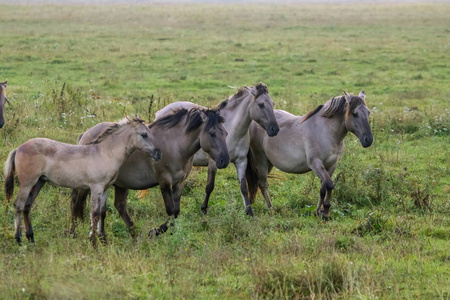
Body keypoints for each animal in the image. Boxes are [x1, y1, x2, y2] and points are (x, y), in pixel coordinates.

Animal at [4, 116, 161, 245]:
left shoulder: (105, 188)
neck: (105, 153)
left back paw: (31, 238)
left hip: (39, 182)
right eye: (144, 135)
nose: (158, 154)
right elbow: (94, 214)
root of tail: (18, 148)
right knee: (18, 205)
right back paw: (18, 239)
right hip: (27, 183)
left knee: (27, 206)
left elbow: (102, 212)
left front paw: (102, 240)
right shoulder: (96, 187)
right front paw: (93, 242)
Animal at [72, 107, 230, 237]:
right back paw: (74, 232)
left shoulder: (179, 182)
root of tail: (85, 134)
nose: (224, 160)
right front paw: (155, 231)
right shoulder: (165, 181)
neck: (175, 145)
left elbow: (176, 211)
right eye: (212, 133)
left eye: (226, 133)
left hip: (119, 184)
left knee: (116, 207)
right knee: (77, 204)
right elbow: (171, 210)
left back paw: (123, 235)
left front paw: (167, 231)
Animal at [156, 82, 280, 216]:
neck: (233, 130)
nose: (275, 129)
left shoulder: (241, 161)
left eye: (272, 103)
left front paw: (249, 211)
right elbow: (210, 186)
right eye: (261, 104)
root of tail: (159, 112)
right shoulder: (214, 162)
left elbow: (243, 187)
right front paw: (204, 209)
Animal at [246, 90, 372, 219]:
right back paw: (271, 209)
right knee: (263, 183)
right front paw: (325, 211)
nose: (368, 140)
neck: (325, 131)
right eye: (355, 114)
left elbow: (323, 188)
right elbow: (329, 185)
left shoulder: (331, 165)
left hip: (269, 162)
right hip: (261, 159)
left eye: (368, 112)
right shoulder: (315, 163)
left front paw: (319, 211)